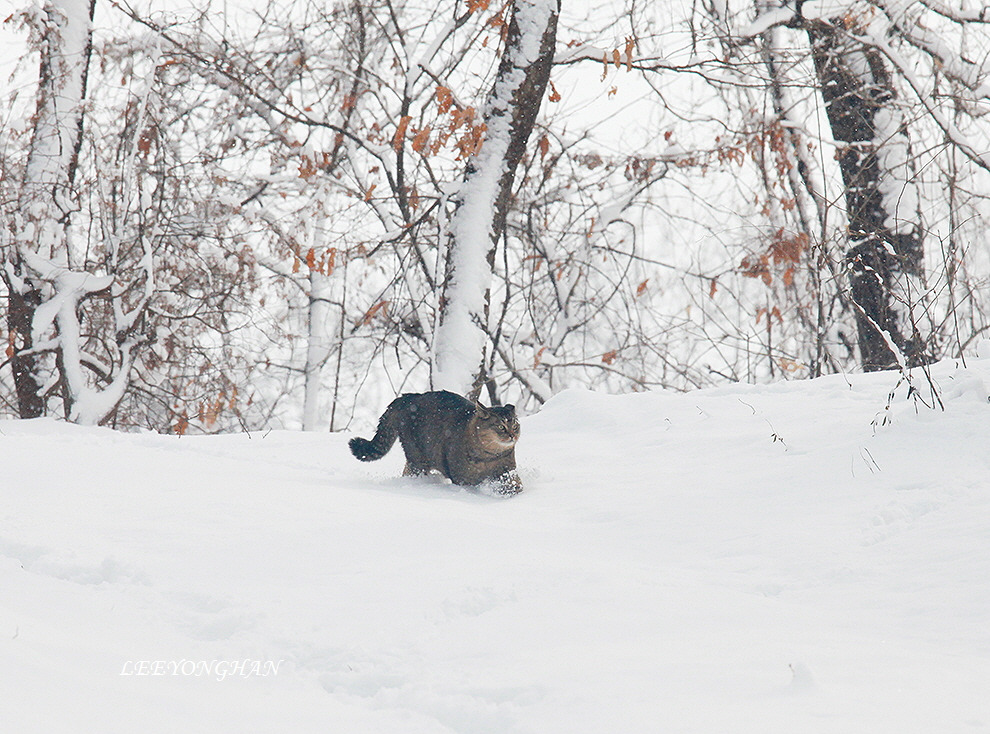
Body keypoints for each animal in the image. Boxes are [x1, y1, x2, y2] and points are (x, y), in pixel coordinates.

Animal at [348, 388, 524, 498]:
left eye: (515, 425)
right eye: (501, 426)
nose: (513, 435)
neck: (489, 456)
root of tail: (409, 396)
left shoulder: (507, 471)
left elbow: (515, 485)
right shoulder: (464, 480)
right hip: (418, 459)